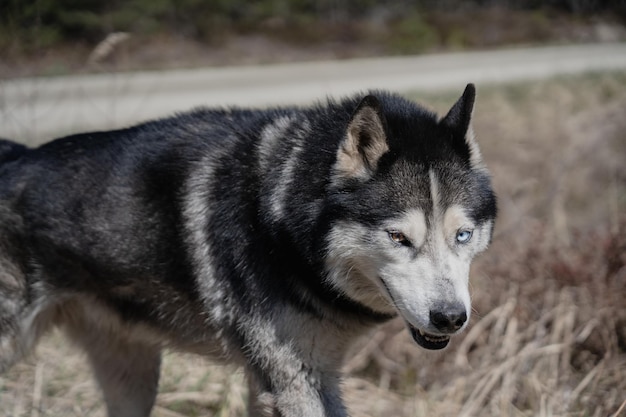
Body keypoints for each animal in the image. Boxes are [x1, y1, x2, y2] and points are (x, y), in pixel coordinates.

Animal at [2, 83, 494, 414]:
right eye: (398, 237)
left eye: (462, 235)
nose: (451, 318)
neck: (280, 224)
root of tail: (14, 155)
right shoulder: (295, 383)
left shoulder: (282, 381)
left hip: (133, 375)